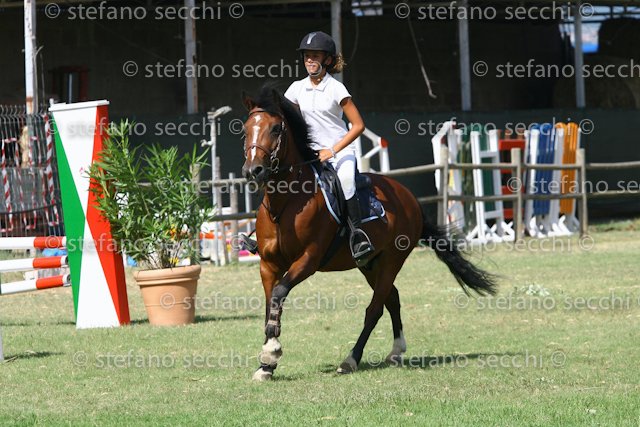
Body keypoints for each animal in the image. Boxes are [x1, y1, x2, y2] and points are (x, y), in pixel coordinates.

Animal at [241, 85, 497, 381]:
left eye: (275, 129)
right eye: (245, 129)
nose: (253, 171)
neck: (286, 204)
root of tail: (407, 196)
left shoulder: (308, 260)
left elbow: (280, 292)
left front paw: (271, 352)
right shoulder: (268, 264)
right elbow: (271, 303)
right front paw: (266, 364)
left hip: (391, 260)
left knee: (375, 309)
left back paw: (351, 359)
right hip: (369, 264)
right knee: (392, 298)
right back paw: (396, 351)